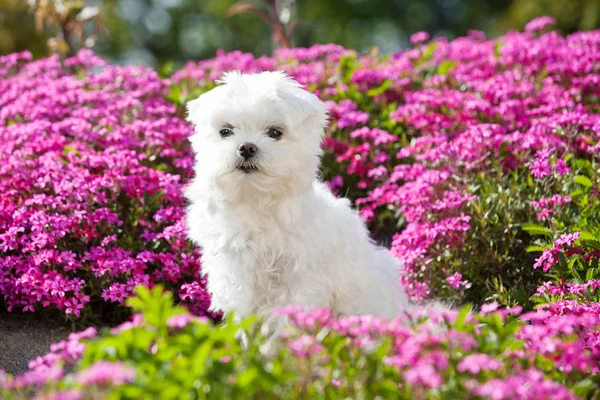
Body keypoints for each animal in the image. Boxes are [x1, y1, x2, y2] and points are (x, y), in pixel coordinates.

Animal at [183, 71, 410, 322]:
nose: (246, 147)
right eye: (226, 131)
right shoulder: (236, 273)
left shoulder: (300, 277)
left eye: (275, 132)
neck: (256, 199)